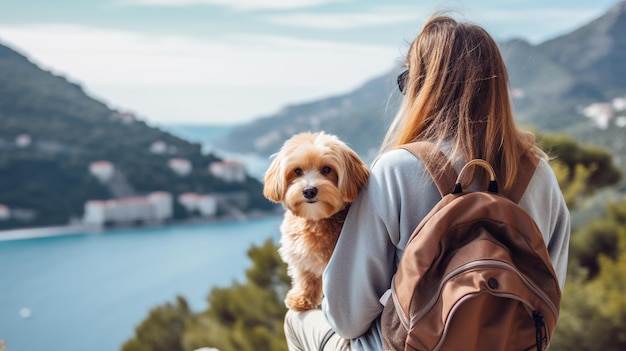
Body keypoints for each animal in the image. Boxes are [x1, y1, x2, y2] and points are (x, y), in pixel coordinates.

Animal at [262, 132, 368, 310]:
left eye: (326, 169)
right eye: (297, 171)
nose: (309, 191)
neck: (314, 220)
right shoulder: (300, 257)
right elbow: (306, 277)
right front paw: (302, 299)